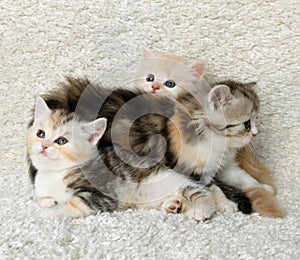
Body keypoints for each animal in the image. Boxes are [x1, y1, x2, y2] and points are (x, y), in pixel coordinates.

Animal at [27, 94, 220, 220]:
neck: (54, 173)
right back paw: (172, 205)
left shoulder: (102, 195)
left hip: (173, 180)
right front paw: (47, 203)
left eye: (62, 140)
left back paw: (201, 209)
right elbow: (41, 197)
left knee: (199, 191)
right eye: (40, 133)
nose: (44, 146)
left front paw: (49, 214)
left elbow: (75, 204)